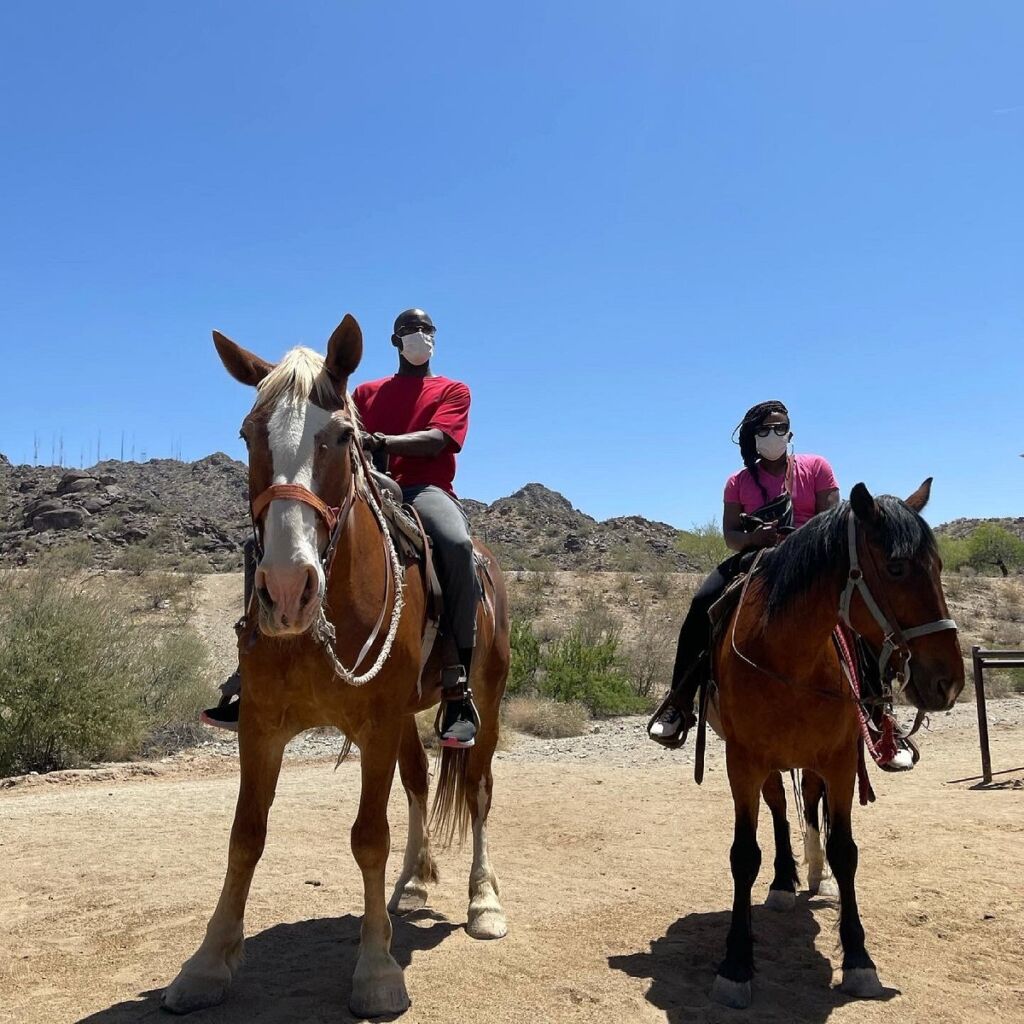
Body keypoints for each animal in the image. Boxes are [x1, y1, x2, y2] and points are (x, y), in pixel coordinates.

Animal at [163, 315, 510, 1018]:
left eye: (343, 435)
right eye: (248, 433)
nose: (287, 588)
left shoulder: (374, 722)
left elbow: (368, 835)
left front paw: (376, 971)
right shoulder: (261, 725)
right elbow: (245, 836)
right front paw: (208, 964)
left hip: (484, 700)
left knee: (479, 789)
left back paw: (483, 902)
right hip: (403, 716)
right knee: (420, 782)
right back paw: (412, 885)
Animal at [705, 479, 963, 1008]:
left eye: (939, 567)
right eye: (897, 568)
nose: (948, 681)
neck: (789, 655)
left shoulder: (841, 760)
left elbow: (846, 851)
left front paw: (859, 961)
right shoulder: (743, 761)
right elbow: (743, 855)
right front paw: (736, 964)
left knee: (806, 800)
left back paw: (811, 871)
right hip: (766, 763)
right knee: (780, 808)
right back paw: (785, 880)